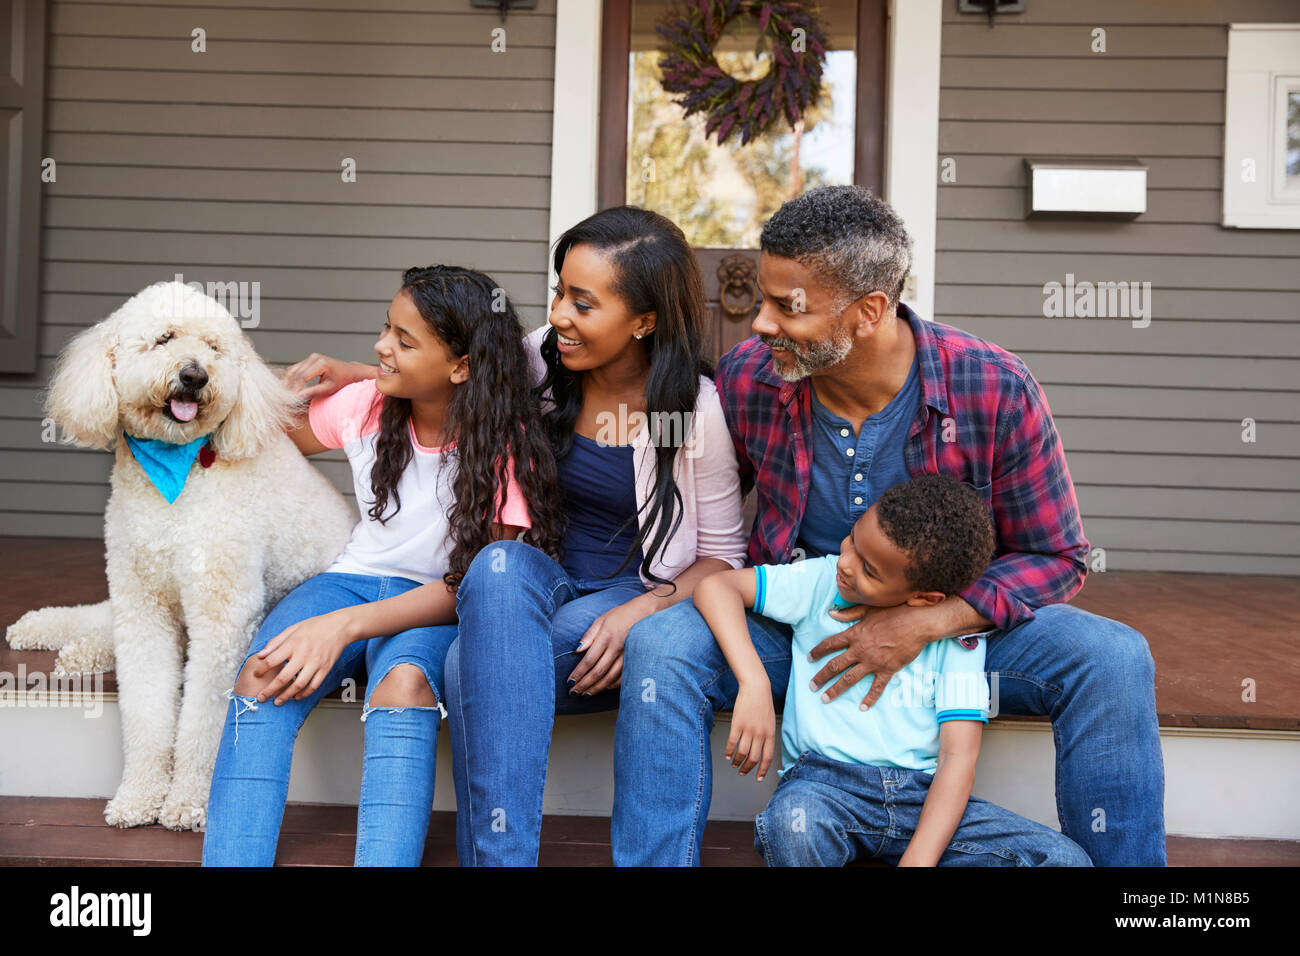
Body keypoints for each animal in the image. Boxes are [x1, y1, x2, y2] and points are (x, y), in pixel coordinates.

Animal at [5, 282, 356, 832]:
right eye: (164, 338)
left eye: (214, 347)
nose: (195, 374)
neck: (177, 474)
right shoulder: (142, 602)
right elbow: (147, 709)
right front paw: (138, 795)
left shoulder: (222, 617)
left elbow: (204, 721)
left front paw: (188, 800)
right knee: (96, 617)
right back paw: (52, 638)